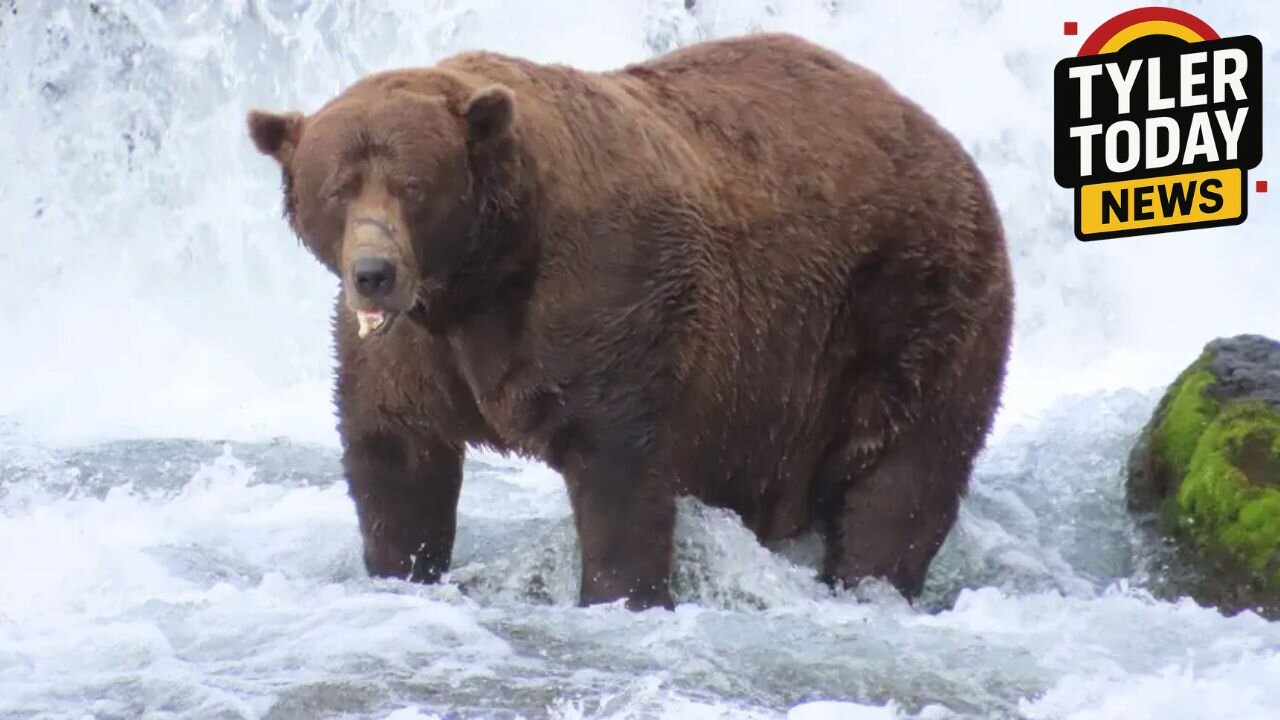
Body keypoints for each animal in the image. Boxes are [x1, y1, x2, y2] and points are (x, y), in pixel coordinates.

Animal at [246, 32, 1014, 611]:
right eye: (338, 189)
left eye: (412, 186)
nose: (374, 271)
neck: (481, 277)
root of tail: (948, 142)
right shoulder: (410, 349)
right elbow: (396, 456)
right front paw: (402, 567)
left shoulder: (605, 297)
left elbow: (618, 468)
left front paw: (621, 593)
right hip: (775, 392)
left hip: (911, 305)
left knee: (904, 477)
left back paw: (870, 581)